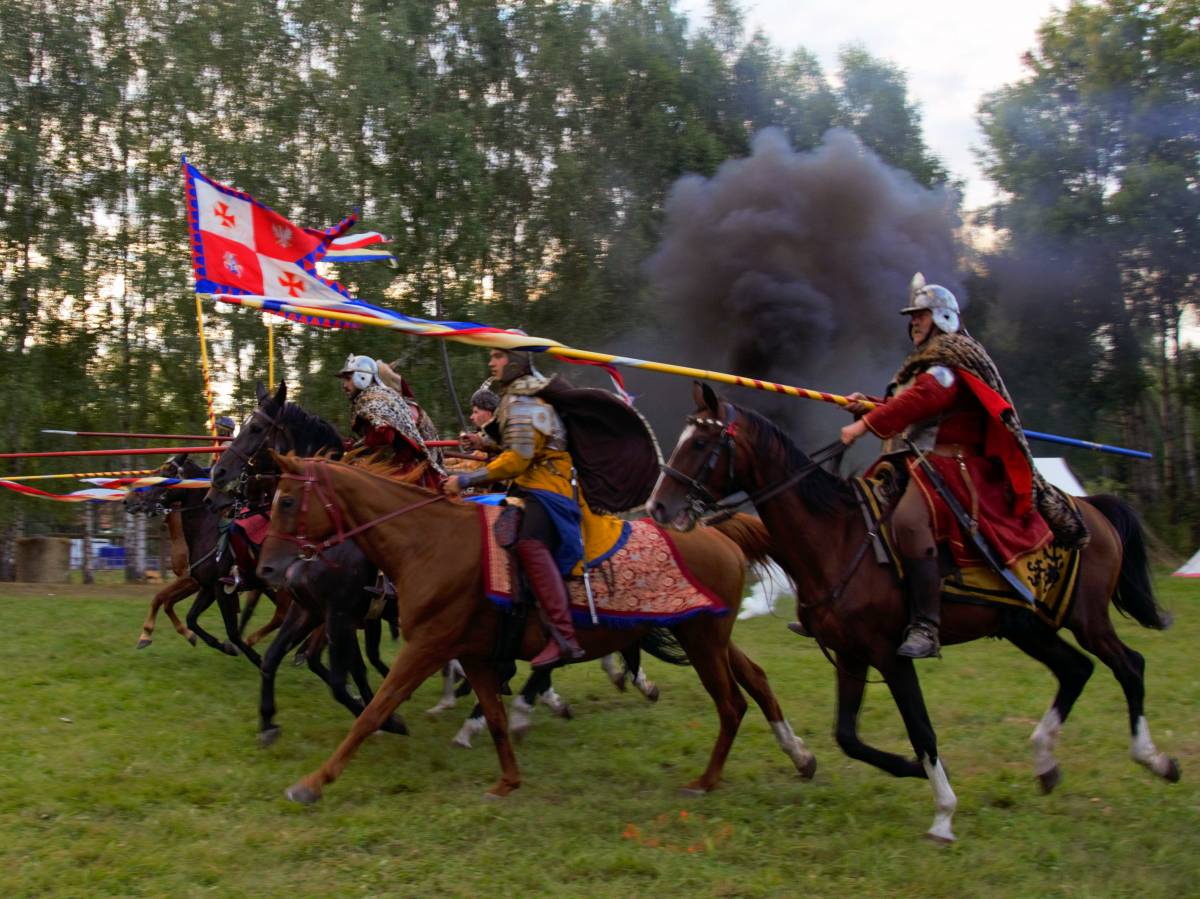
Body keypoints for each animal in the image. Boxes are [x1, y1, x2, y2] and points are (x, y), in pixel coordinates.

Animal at [255, 451, 816, 801]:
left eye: (287, 501)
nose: (269, 569)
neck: (427, 542)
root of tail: (720, 535)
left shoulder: (426, 645)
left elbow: (373, 711)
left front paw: (312, 783)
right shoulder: (473, 652)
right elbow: (495, 717)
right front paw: (506, 780)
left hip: (701, 641)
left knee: (731, 703)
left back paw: (707, 780)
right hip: (707, 637)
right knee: (756, 680)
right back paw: (800, 756)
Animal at [648, 381, 1180, 840]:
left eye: (702, 442)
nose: (658, 508)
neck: (838, 536)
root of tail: (1091, 508)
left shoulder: (890, 655)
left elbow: (921, 728)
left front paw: (943, 813)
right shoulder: (850, 655)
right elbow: (847, 735)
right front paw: (907, 769)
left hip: (1086, 619)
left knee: (1129, 666)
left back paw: (1155, 759)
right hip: (1027, 628)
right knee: (1077, 670)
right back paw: (1046, 762)